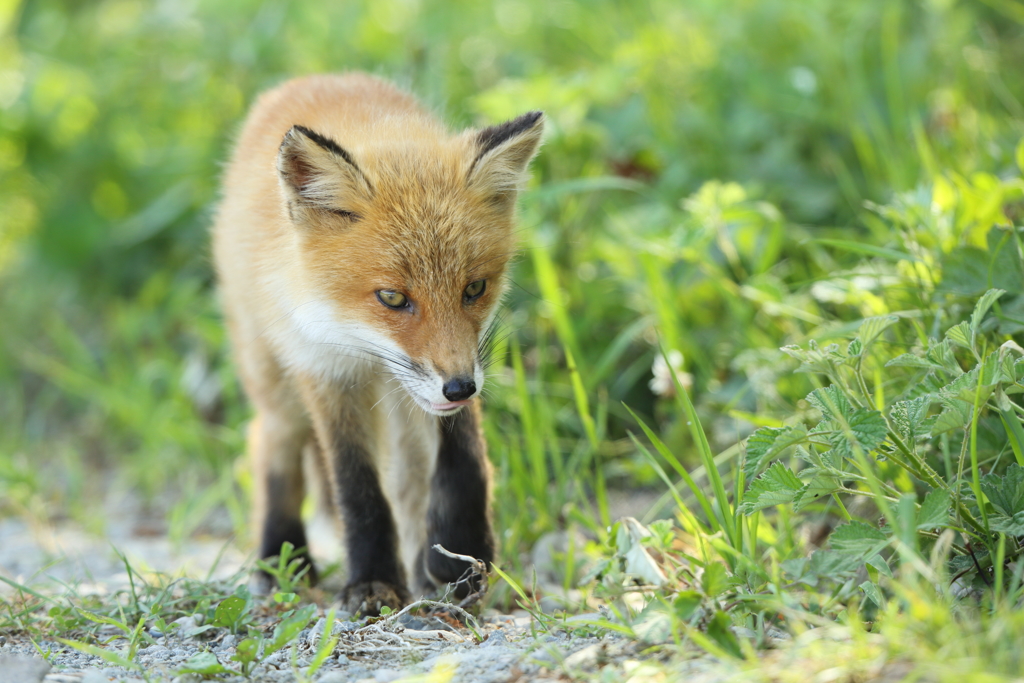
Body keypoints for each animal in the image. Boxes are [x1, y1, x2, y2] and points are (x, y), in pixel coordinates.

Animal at [212, 72, 548, 618]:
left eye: (474, 289)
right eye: (392, 297)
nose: (460, 389)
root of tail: (310, 79)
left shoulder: (451, 372)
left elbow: (465, 463)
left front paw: (461, 556)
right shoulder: (324, 369)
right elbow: (357, 488)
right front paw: (372, 581)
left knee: (409, 479)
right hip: (272, 376)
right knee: (269, 443)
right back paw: (282, 559)